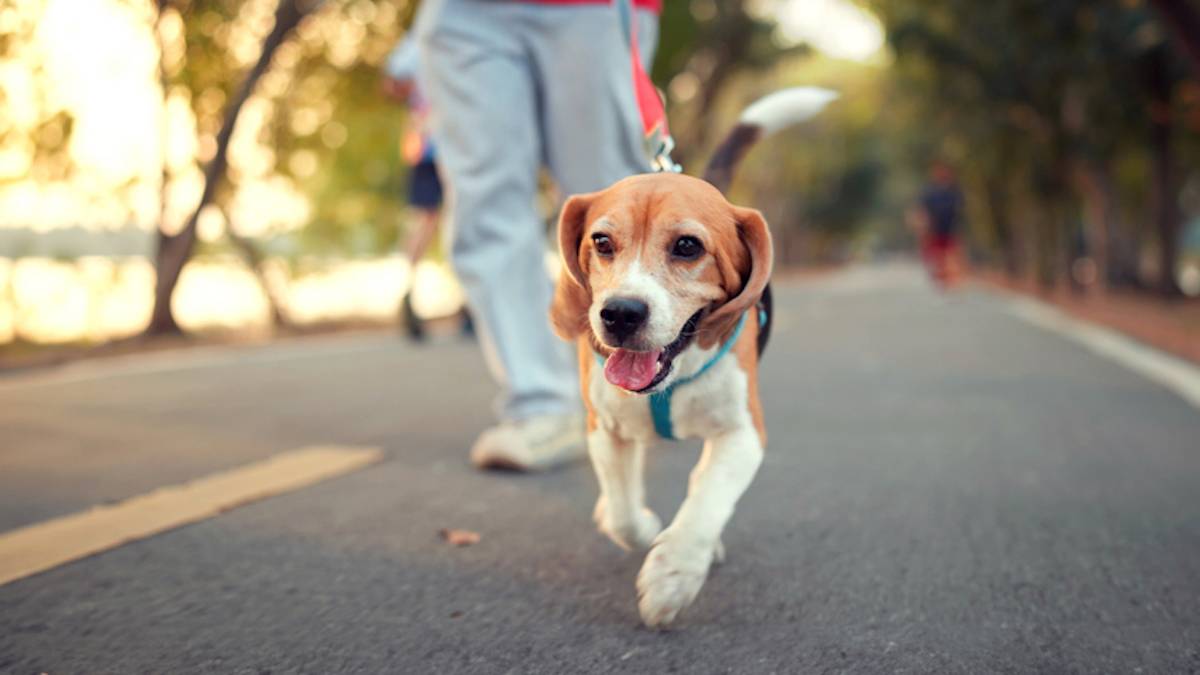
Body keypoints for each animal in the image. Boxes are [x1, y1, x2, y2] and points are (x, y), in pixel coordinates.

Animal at [549, 89, 835, 624]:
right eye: (602, 241)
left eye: (687, 246)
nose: (619, 314)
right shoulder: (606, 426)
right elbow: (624, 514)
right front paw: (643, 528)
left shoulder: (743, 433)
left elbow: (707, 502)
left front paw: (674, 573)